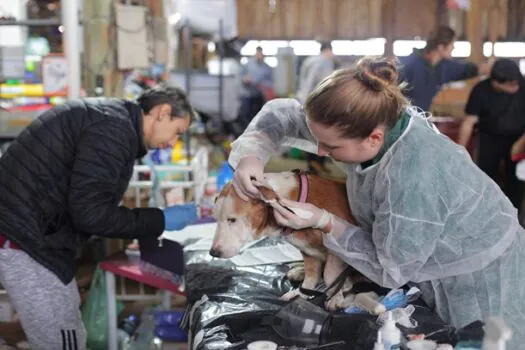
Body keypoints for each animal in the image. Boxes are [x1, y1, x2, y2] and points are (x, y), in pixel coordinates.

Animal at [209, 171, 364, 310]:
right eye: (215, 219)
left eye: (232, 220)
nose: (213, 253)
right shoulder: (308, 250)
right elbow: (311, 276)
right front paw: (300, 293)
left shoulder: (340, 246)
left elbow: (330, 275)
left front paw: (336, 296)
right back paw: (299, 271)